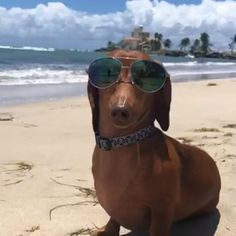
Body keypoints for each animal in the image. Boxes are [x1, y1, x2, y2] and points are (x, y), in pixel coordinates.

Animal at [87, 48, 221, 235]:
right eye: (108, 72)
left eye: (146, 75)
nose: (121, 110)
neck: (122, 144)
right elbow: (113, 220)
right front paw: (107, 230)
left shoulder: (162, 208)